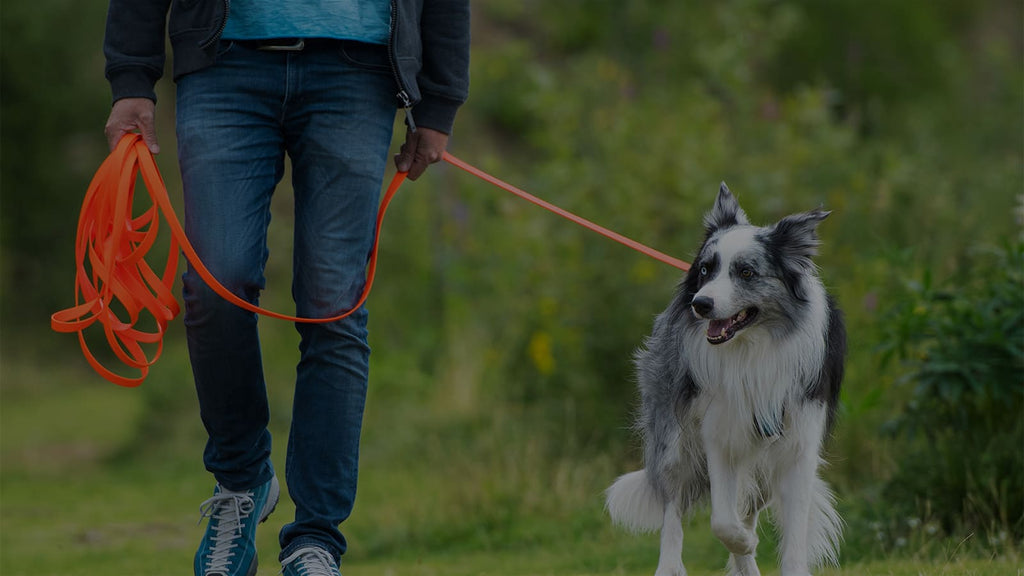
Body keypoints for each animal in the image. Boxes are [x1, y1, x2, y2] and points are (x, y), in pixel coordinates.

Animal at [602, 184, 843, 573]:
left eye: (745, 272)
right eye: (705, 269)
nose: (700, 304)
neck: (753, 348)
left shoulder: (799, 445)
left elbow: (791, 536)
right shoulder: (719, 434)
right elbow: (722, 521)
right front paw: (744, 541)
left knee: (749, 507)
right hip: (673, 437)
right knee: (674, 507)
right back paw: (673, 564)